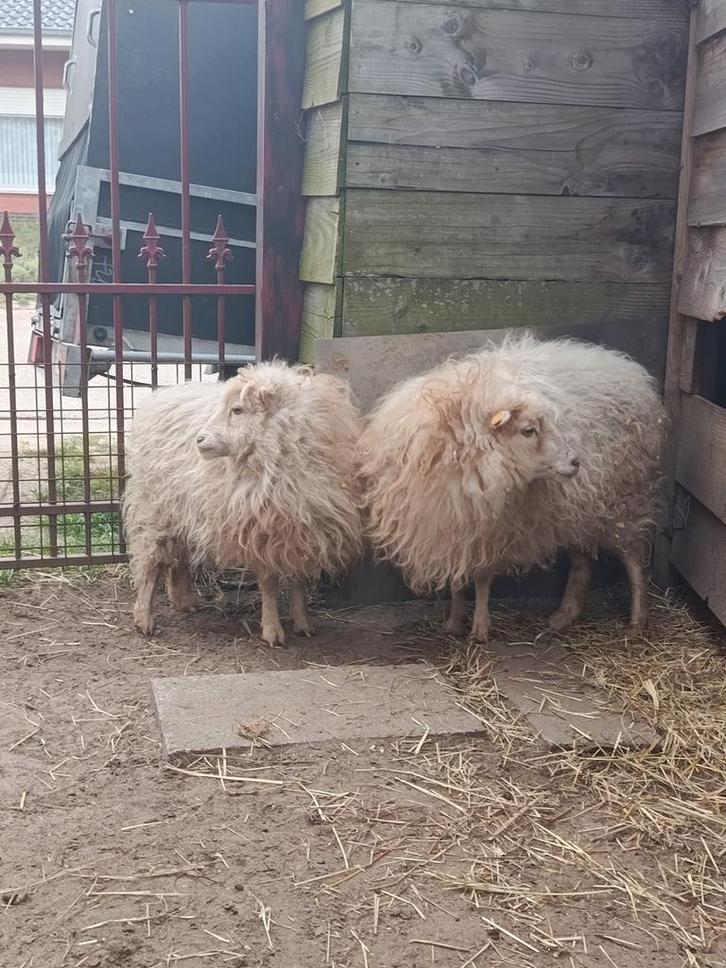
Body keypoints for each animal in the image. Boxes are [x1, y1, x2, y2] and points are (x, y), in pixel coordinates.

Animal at [123, 362, 363, 645]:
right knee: (151, 562)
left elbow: (299, 580)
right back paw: (144, 617)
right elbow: (269, 583)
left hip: (182, 508)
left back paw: (183, 599)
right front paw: (272, 630)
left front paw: (302, 621)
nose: (199, 440)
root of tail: (157, 398)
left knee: (179, 554)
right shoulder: (261, 528)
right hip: (155, 508)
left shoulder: (301, 527)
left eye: (237, 409)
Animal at [358, 334, 666, 641]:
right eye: (528, 430)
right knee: (582, 559)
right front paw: (454, 622)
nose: (576, 462)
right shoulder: (452, 525)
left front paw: (480, 628)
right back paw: (565, 615)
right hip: (581, 508)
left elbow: (481, 579)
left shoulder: (491, 528)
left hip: (625, 500)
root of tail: (627, 368)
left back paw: (637, 620)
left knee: (634, 559)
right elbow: (457, 582)